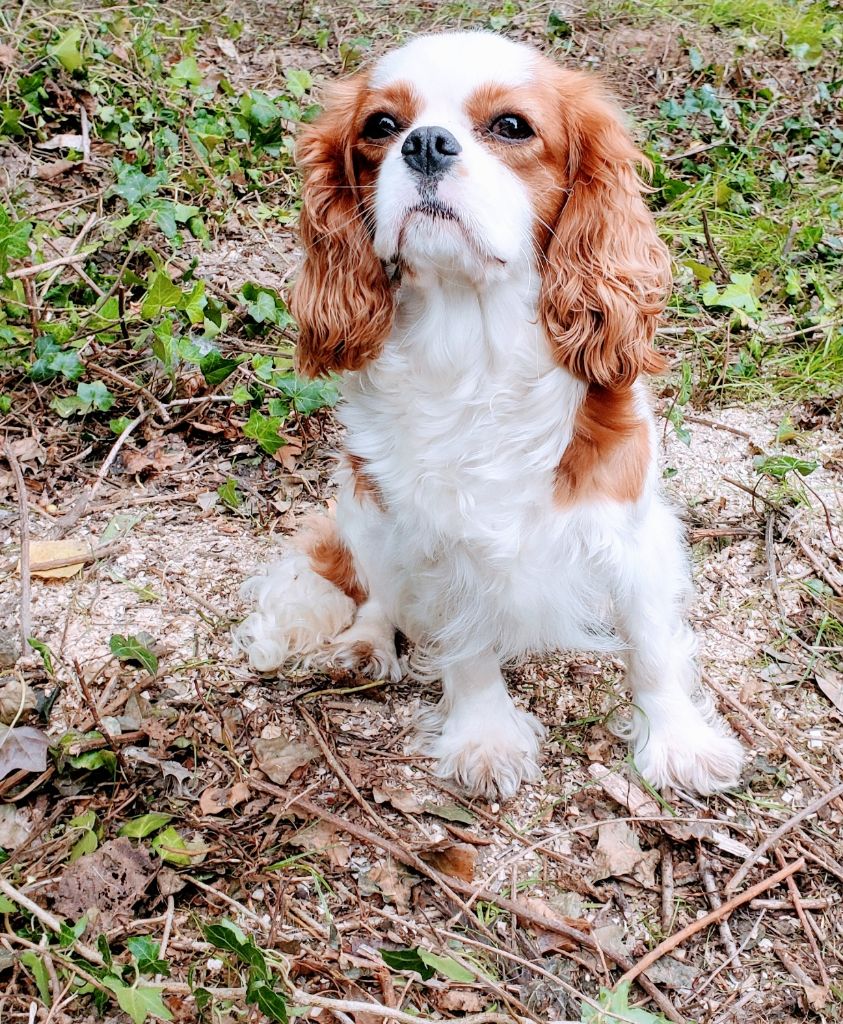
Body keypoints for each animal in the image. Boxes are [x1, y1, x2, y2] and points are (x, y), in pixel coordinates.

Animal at [237, 29, 745, 798]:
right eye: (380, 126)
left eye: (510, 126)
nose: (424, 143)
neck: (473, 346)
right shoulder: (430, 538)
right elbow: (466, 645)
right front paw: (484, 739)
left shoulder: (630, 529)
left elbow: (652, 645)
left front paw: (677, 742)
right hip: (360, 504)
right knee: (377, 593)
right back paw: (362, 645)